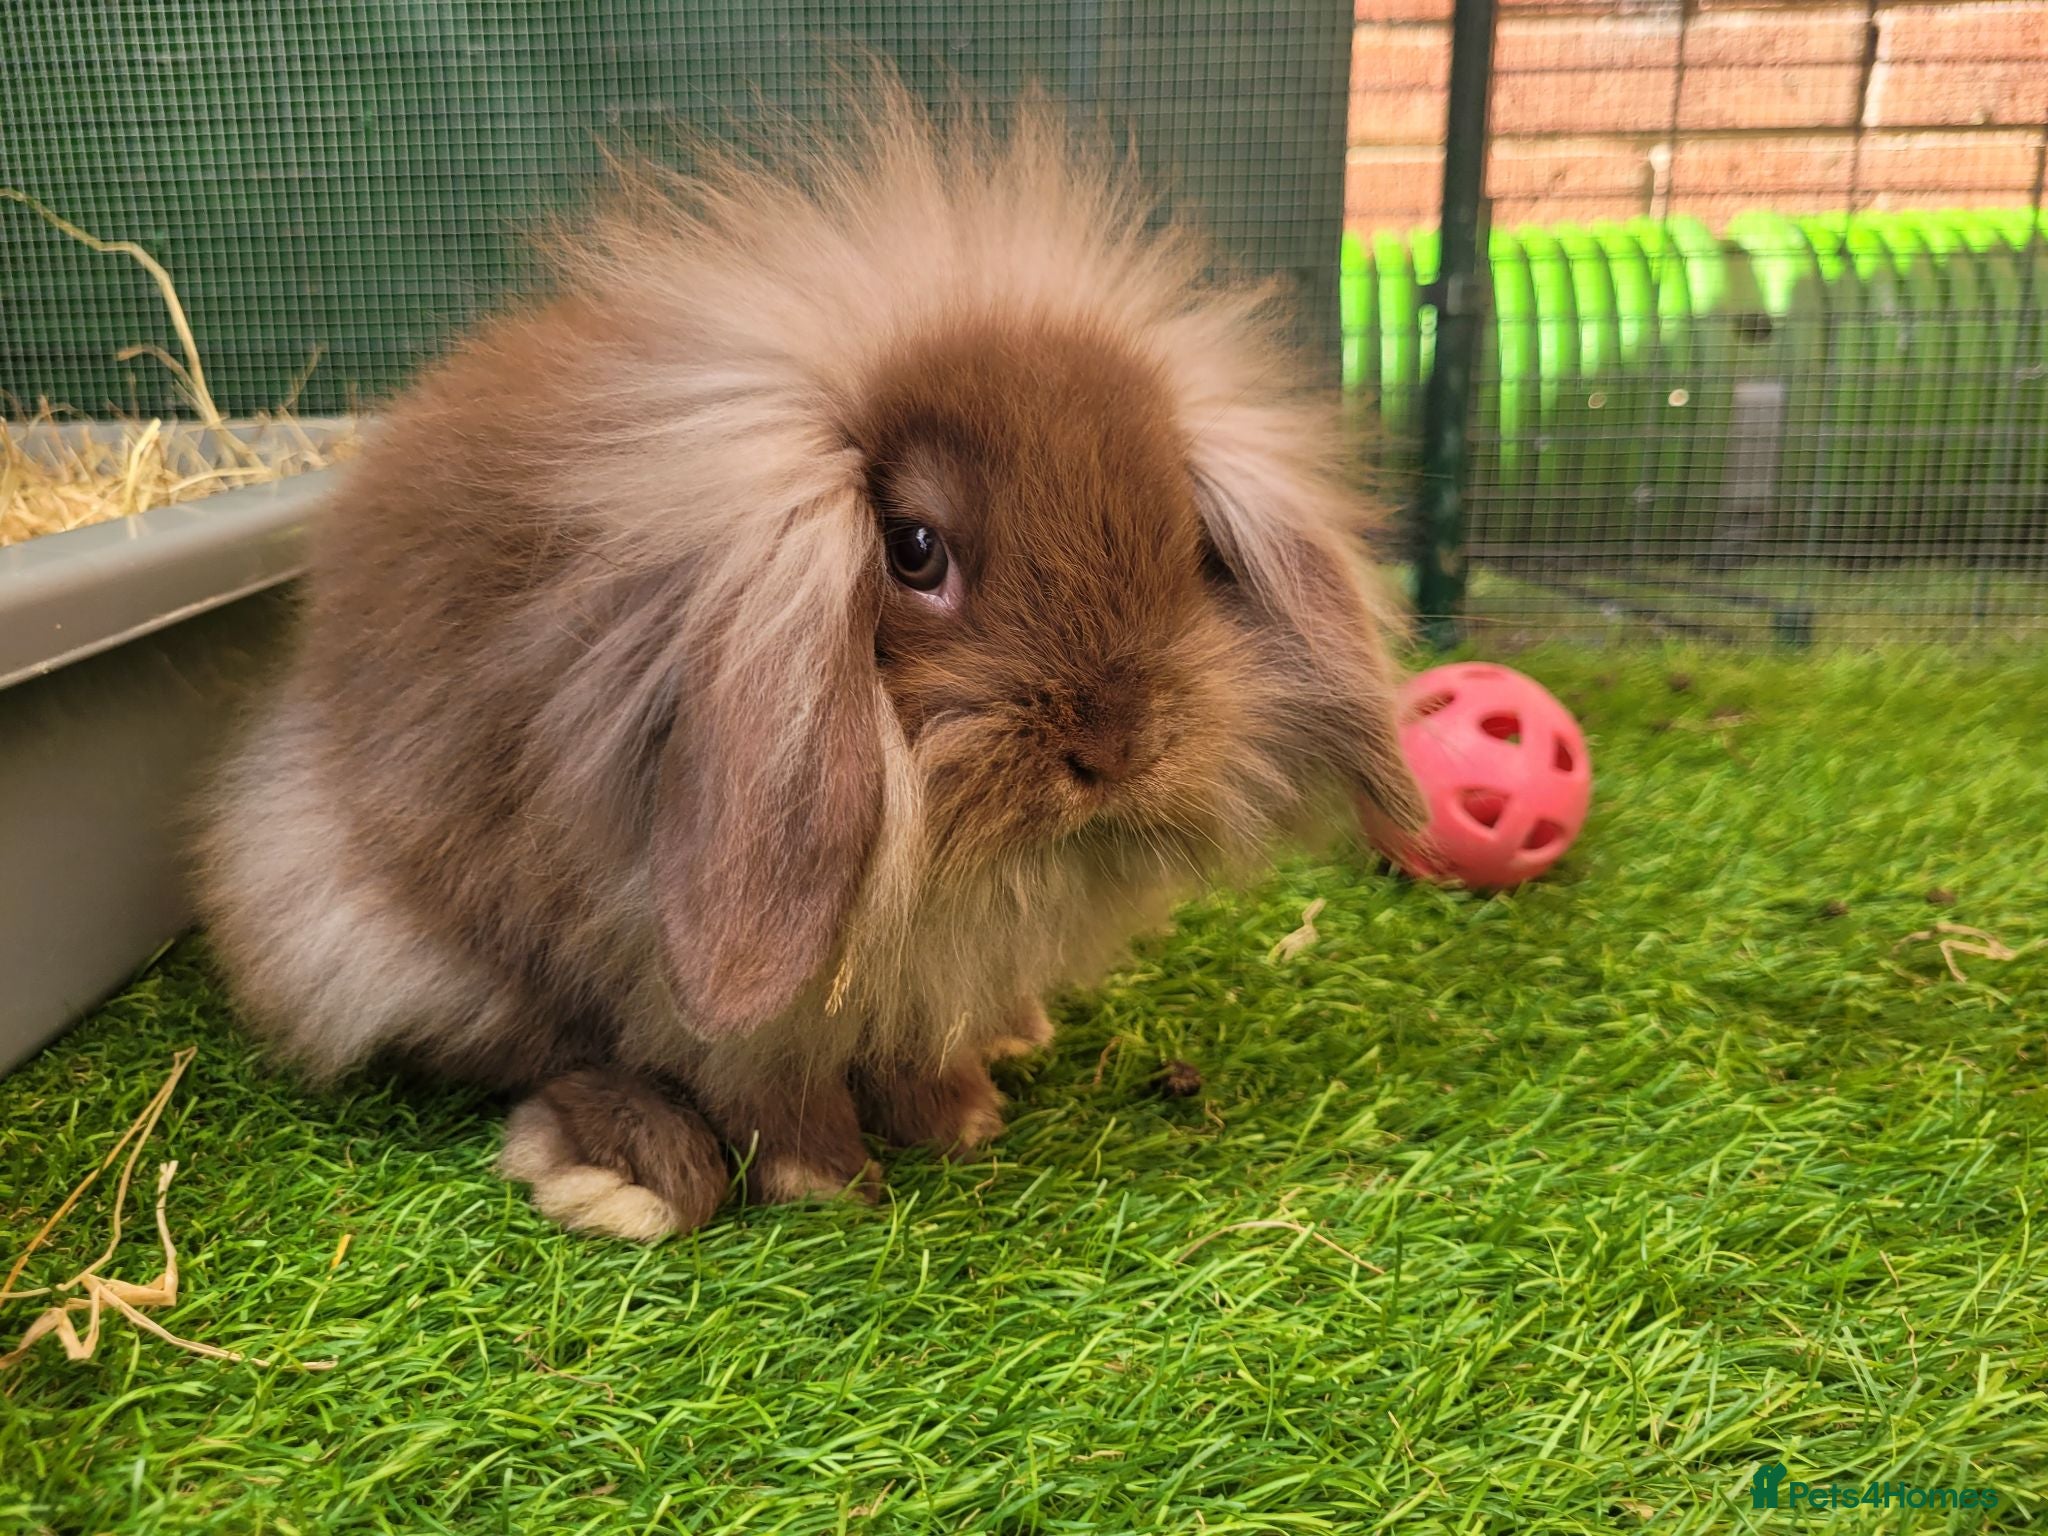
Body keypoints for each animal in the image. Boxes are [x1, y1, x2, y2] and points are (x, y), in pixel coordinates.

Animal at [194, 85, 1426, 1241]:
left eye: (1184, 543)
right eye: (914, 550)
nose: (1117, 748)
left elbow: (915, 1050)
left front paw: (960, 1123)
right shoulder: (699, 976)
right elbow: (761, 1084)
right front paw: (827, 1186)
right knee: (538, 1049)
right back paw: (628, 1170)